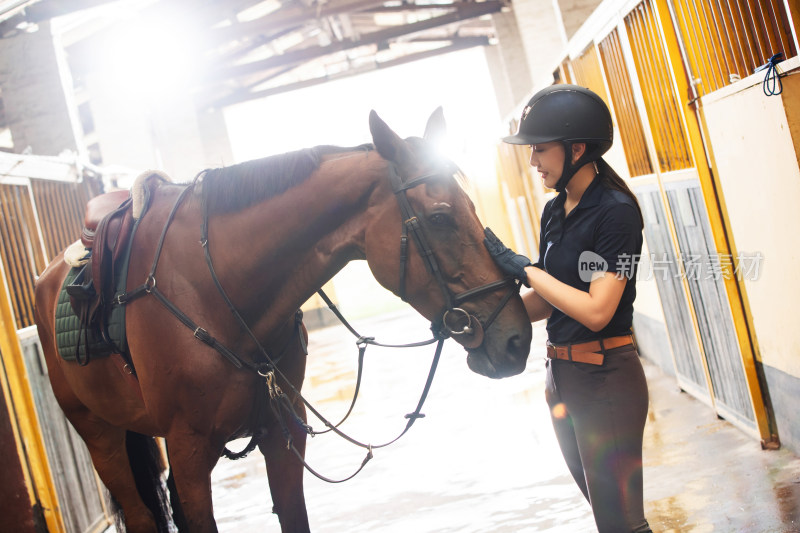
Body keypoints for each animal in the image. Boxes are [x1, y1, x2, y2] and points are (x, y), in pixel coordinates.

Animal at [34, 110, 532, 528]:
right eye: (440, 217)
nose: (518, 339)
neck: (215, 289)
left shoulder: (283, 432)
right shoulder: (189, 448)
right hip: (101, 435)